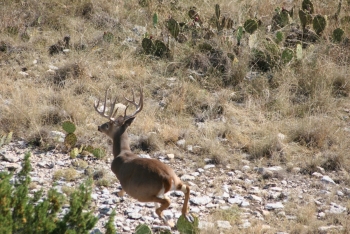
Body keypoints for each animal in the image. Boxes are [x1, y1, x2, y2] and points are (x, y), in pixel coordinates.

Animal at [94, 86, 193, 227]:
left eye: (107, 124)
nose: (99, 127)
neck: (122, 153)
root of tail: (168, 179)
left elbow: (121, 190)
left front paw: (119, 195)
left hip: (144, 193)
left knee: (167, 201)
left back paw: (167, 220)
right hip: (175, 181)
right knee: (186, 188)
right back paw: (184, 215)